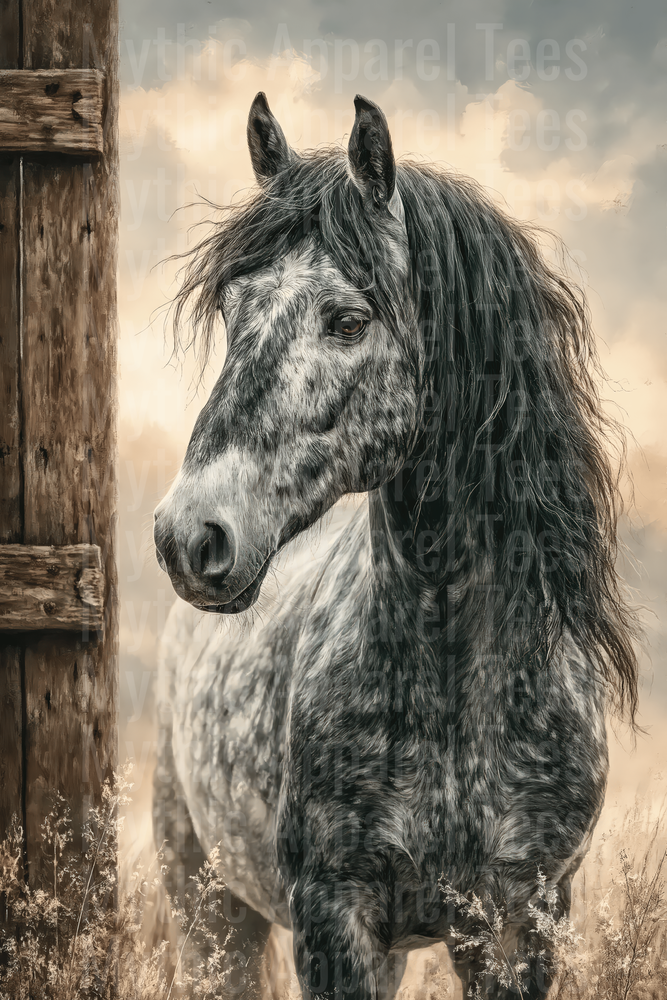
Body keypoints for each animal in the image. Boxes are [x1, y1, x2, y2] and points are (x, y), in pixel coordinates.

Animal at [152, 92, 638, 999]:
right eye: (233, 312)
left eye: (347, 319)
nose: (188, 536)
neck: (457, 689)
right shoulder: (334, 918)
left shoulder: (519, 923)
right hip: (210, 912)